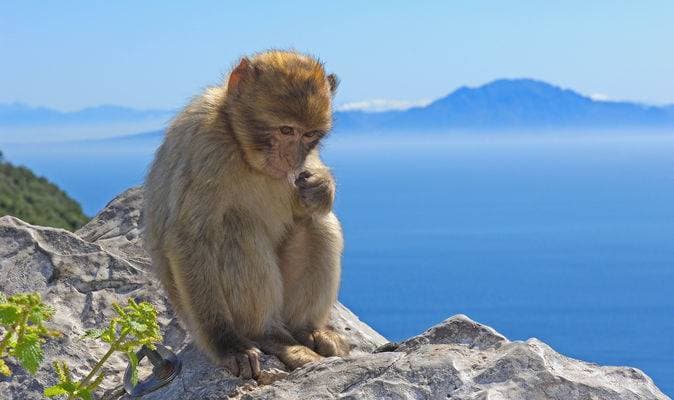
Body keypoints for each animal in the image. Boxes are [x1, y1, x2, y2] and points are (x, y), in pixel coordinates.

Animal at [144, 50, 350, 378]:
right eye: (286, 130)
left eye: (309, 135)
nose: (292, 157)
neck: (238, 142)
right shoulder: (206, 147)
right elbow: (190, 239)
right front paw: (227, 345)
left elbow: (309, 200)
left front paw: (321, 187)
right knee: (234, 226)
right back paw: (268, 336)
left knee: (316, 223)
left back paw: (308, 330)